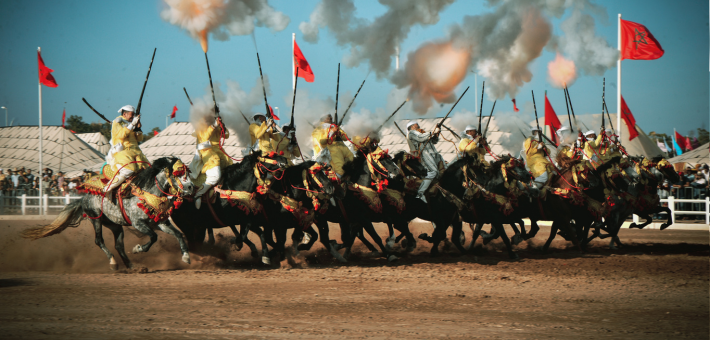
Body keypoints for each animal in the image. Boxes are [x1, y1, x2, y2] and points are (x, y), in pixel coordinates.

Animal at [22, 157, 195, 270]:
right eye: (179, 173)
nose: (192, 187)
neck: (147, 193)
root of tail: (84, 198)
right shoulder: (138, 223)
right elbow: (153, 237)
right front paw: (138, 248)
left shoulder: (160, 222)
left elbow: (179, 234)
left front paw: (186, 257)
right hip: (96, 219)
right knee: (99, 241)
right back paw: (113, 262)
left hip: (115, 225)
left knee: (118, 245)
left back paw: (132, 266)